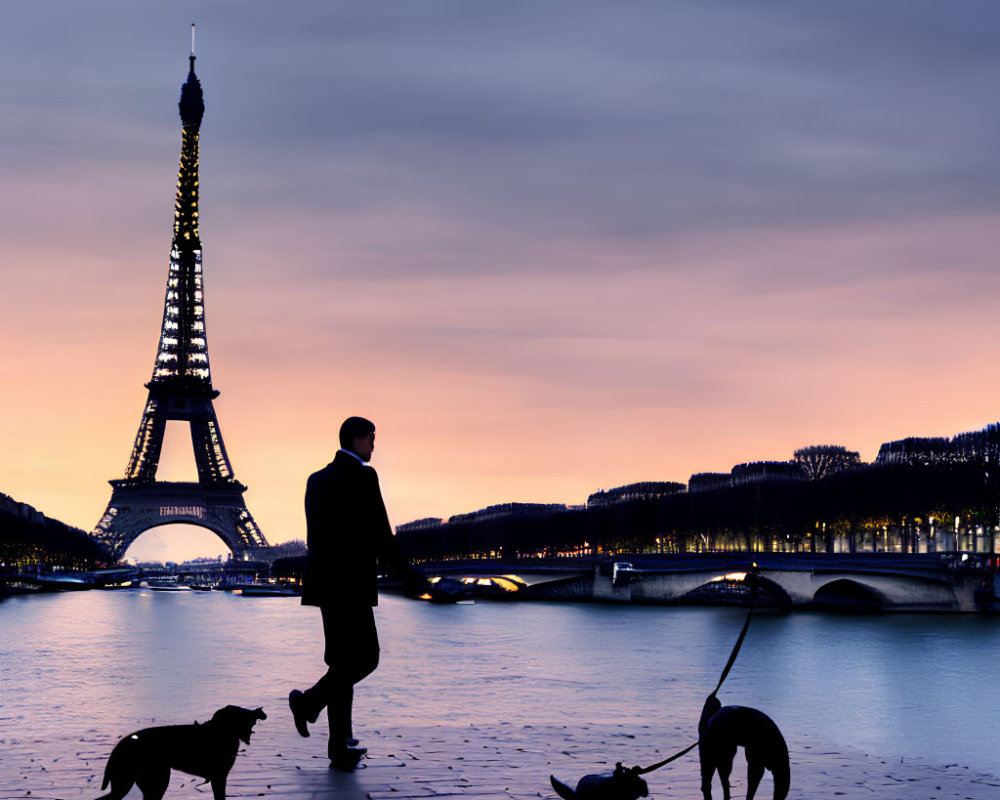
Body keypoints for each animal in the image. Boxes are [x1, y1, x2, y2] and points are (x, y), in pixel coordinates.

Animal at [93, 704, 264, 796]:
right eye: (241, 714)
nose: (259, 712)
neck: (220, 731)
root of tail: (119, 747)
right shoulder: (219, 778)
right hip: (153, 782)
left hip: (130, 783)